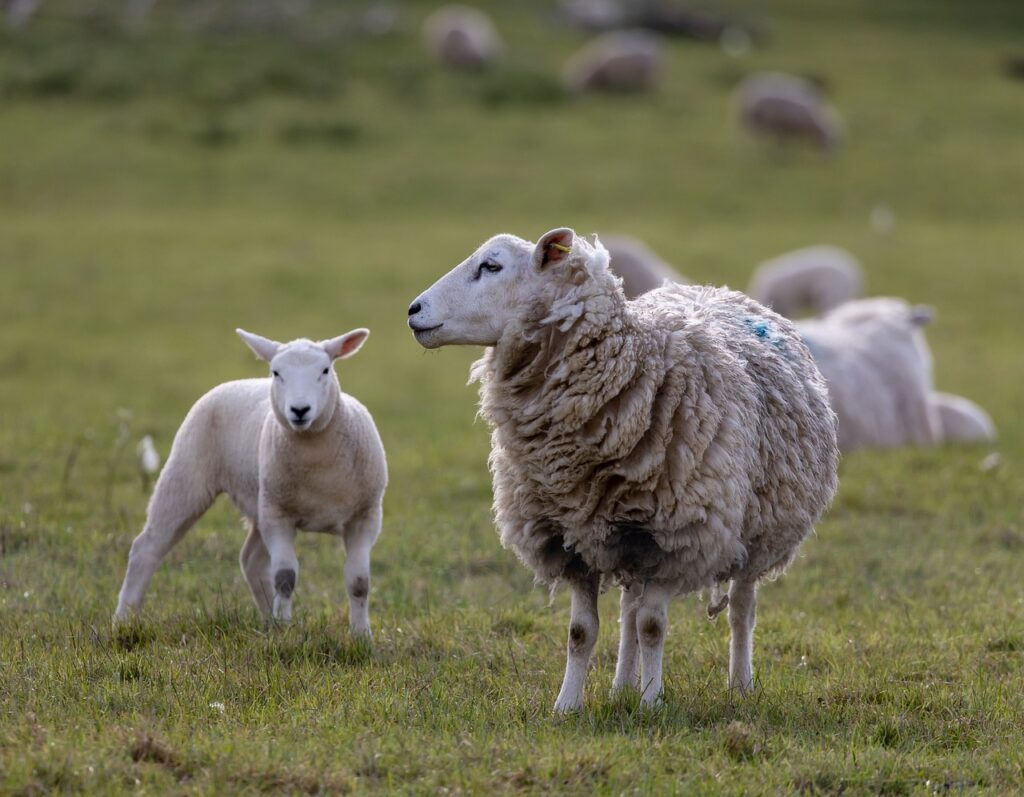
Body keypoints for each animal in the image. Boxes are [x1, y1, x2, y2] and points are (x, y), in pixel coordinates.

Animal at [115, 323, 387, 635]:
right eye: (276, 372)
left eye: (325, 370)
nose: (299, 410)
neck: (320, 467)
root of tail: (236, 382)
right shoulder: (279, 516)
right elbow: (285, 578)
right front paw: (287, 631)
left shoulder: (365, 517)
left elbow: (359, 583)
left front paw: (361, 636)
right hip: (188, 476)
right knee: (146, 548)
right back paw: (123, 619)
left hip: (258, 502)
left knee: (251, 560)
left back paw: (269, 619)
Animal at [407, 226, 839, 712]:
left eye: (491, 266)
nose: (413, 311)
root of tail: (718, 290)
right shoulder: (571, 537)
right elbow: (582, 632)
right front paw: (567, 705)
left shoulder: (677, 537)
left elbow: (654, 626)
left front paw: (652, 704)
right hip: (627, 535)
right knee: (629, 609)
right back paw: (621, 686)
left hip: (757, 530)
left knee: (740, 609)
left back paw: (739, 684)